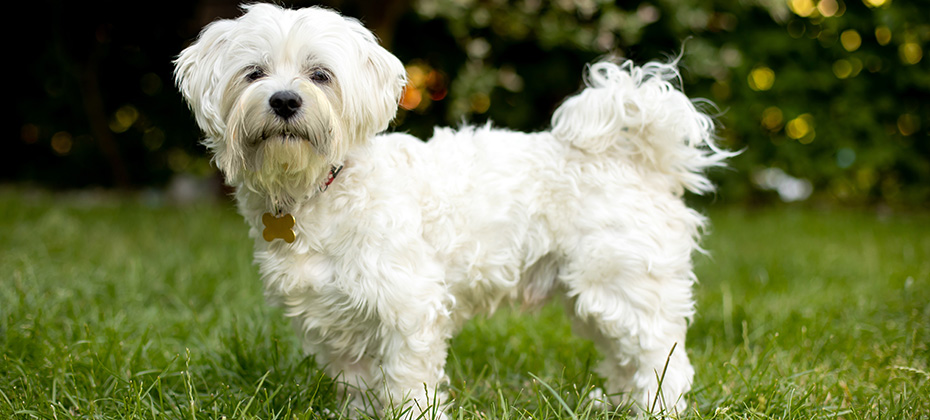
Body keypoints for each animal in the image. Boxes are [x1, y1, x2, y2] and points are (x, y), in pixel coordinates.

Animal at [172, 2, 724, 416]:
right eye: (254, 73)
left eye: (320, 75)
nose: (285, 100)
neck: (319, 188)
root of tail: (638, 158)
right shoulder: (336, 316)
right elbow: (358, 384)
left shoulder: (407, 306)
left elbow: (405, 381)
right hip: (595, 294)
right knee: (625, 361)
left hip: (623, 288)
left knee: (663, 362)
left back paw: (655, 410)